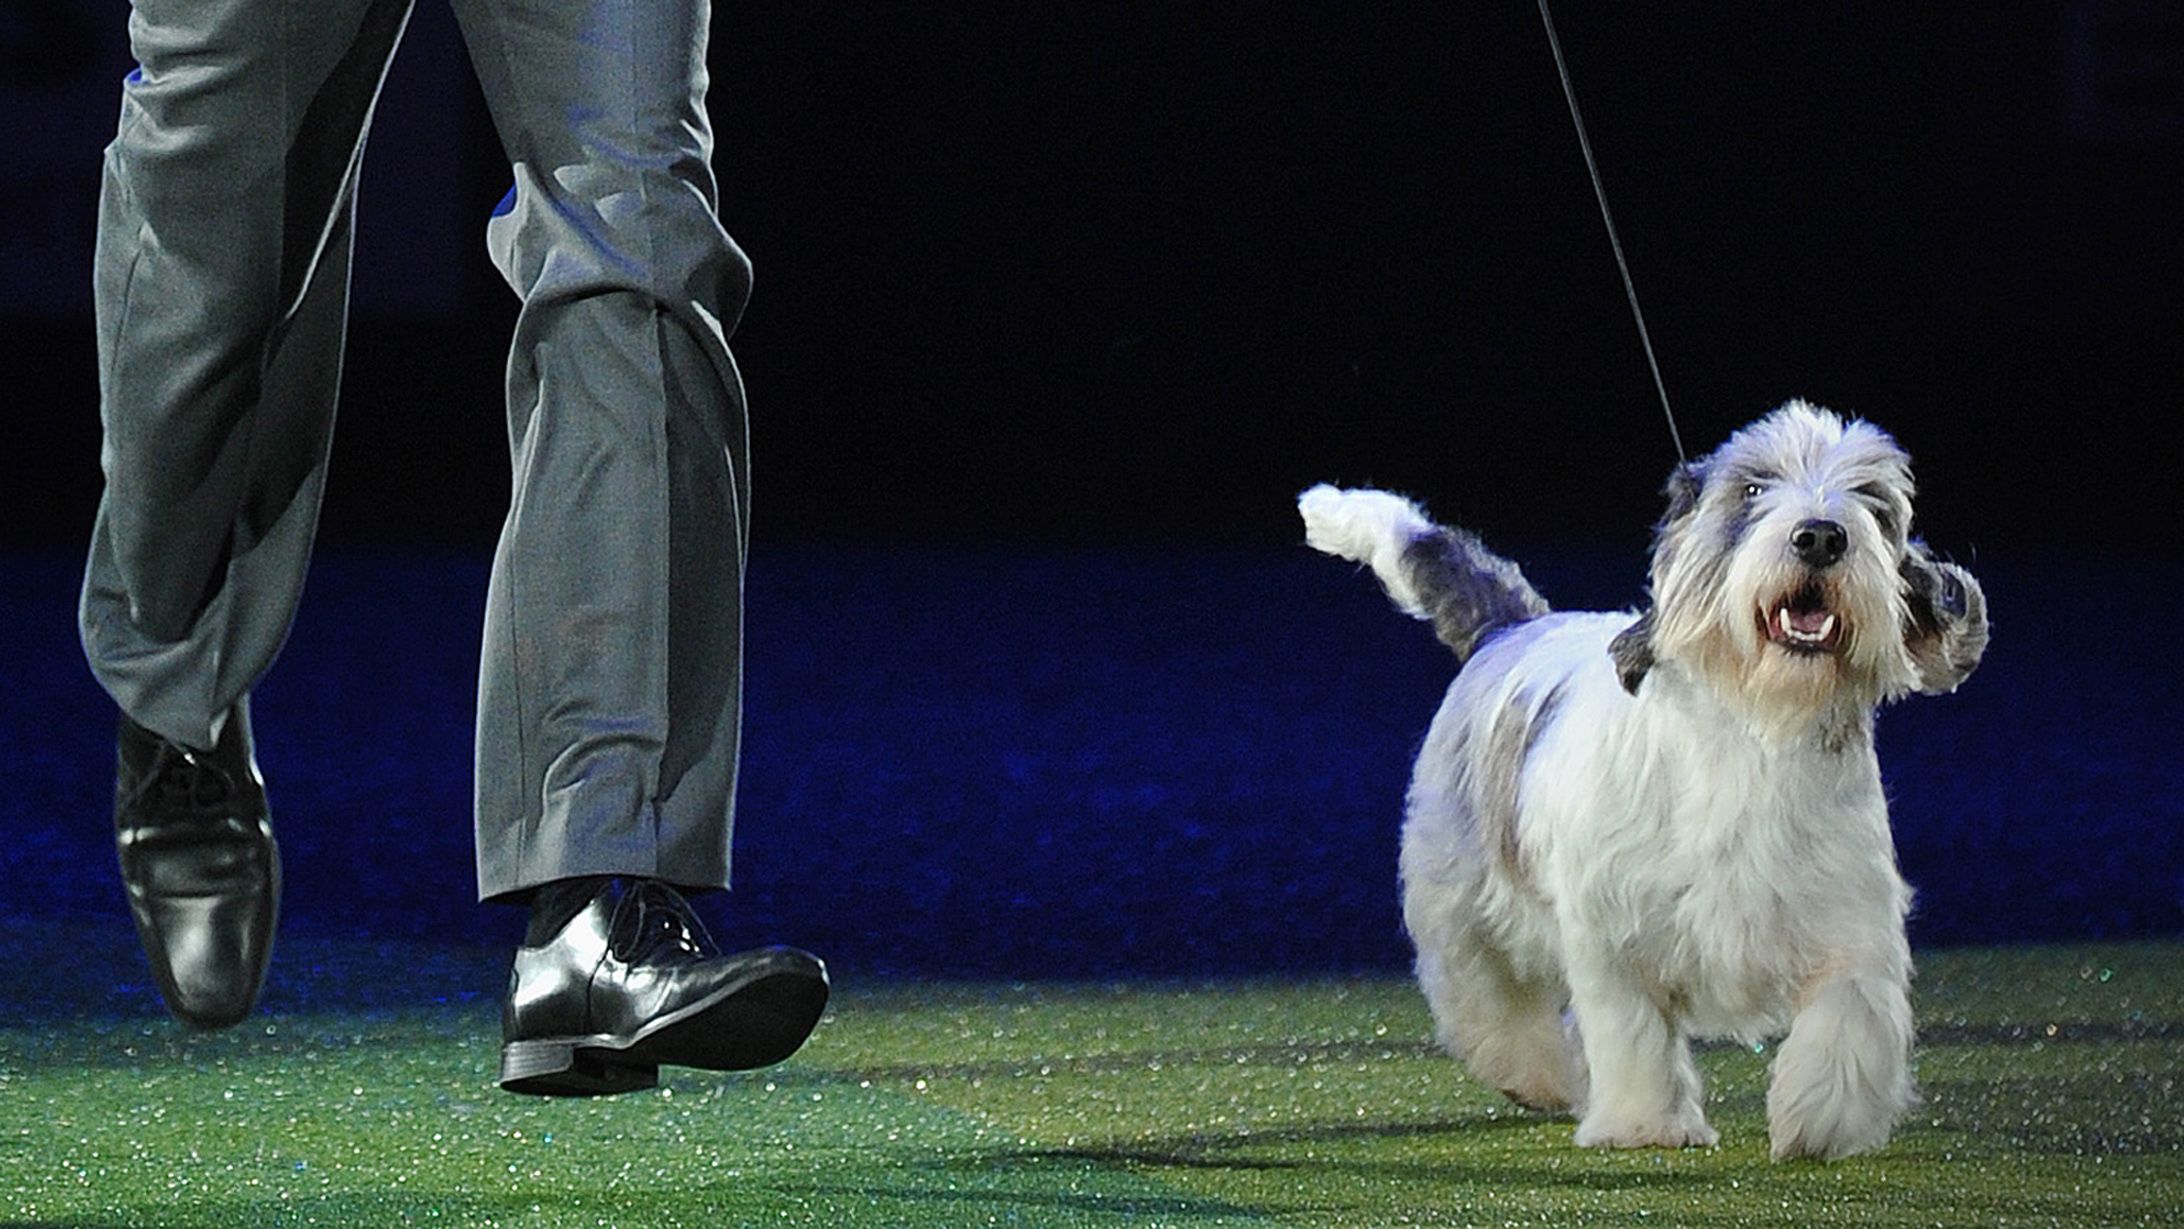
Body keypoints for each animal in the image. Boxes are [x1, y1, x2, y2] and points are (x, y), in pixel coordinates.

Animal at [1301, 403, 1991, 1161]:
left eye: (1873, 501)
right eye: (1753, 490)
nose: (1820, 535)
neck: (1752, 728)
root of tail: (1512, 629)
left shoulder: (1852, 923)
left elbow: (1848, 1019)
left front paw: (1822, 1120)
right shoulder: (1612, 934)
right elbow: (1629, 1031)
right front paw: (1644, 1124)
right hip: (1457, 901)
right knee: (1486, 999)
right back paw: (1539, 1075)